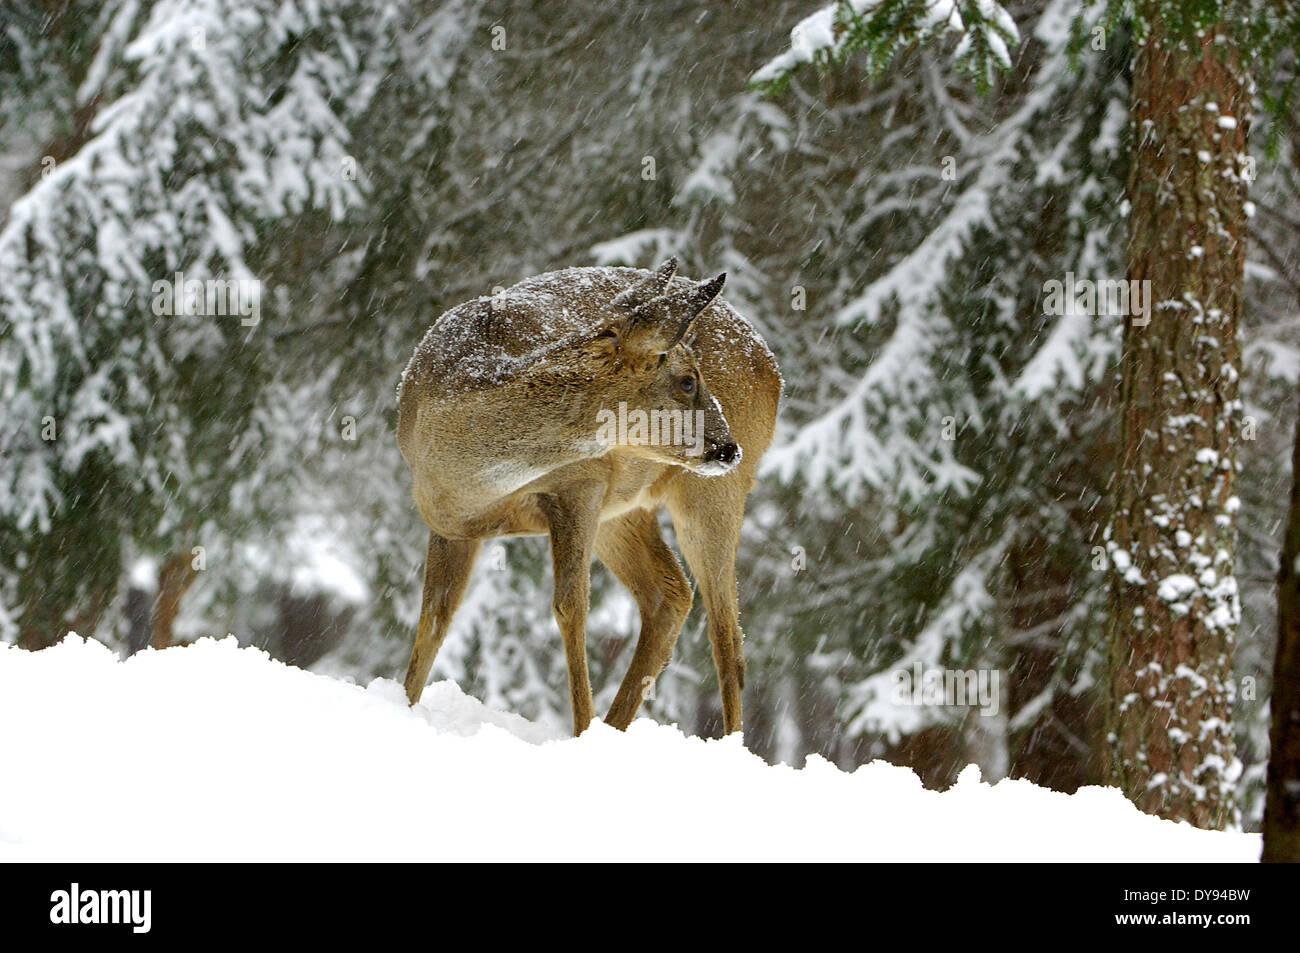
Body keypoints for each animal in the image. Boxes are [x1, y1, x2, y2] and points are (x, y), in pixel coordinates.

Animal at [396, 257, 782, 737]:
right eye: (688, 381)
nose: (729, 447)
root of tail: (772, 366)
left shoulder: (582, 483)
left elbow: (570, 608)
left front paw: (581, 730)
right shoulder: (448, 521)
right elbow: (435, 617)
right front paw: (404, 705)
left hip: (710, 491)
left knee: (728, 640)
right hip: (624, 509)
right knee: (671, 594)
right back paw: (615, 729)